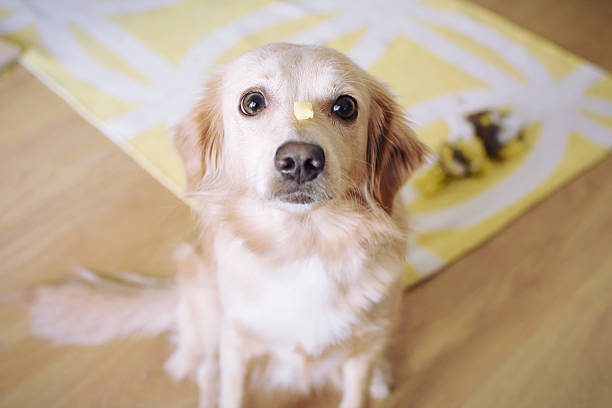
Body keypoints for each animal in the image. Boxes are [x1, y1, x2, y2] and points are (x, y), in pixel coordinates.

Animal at [22, 43, 426, 406]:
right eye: (252, 102)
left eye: (345, 106)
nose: (300, 160)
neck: (304, 244)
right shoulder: (236, 346)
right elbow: (231, 391)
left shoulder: (362, 349)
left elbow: (356, 389)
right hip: (207, 318)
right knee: (205, 371)